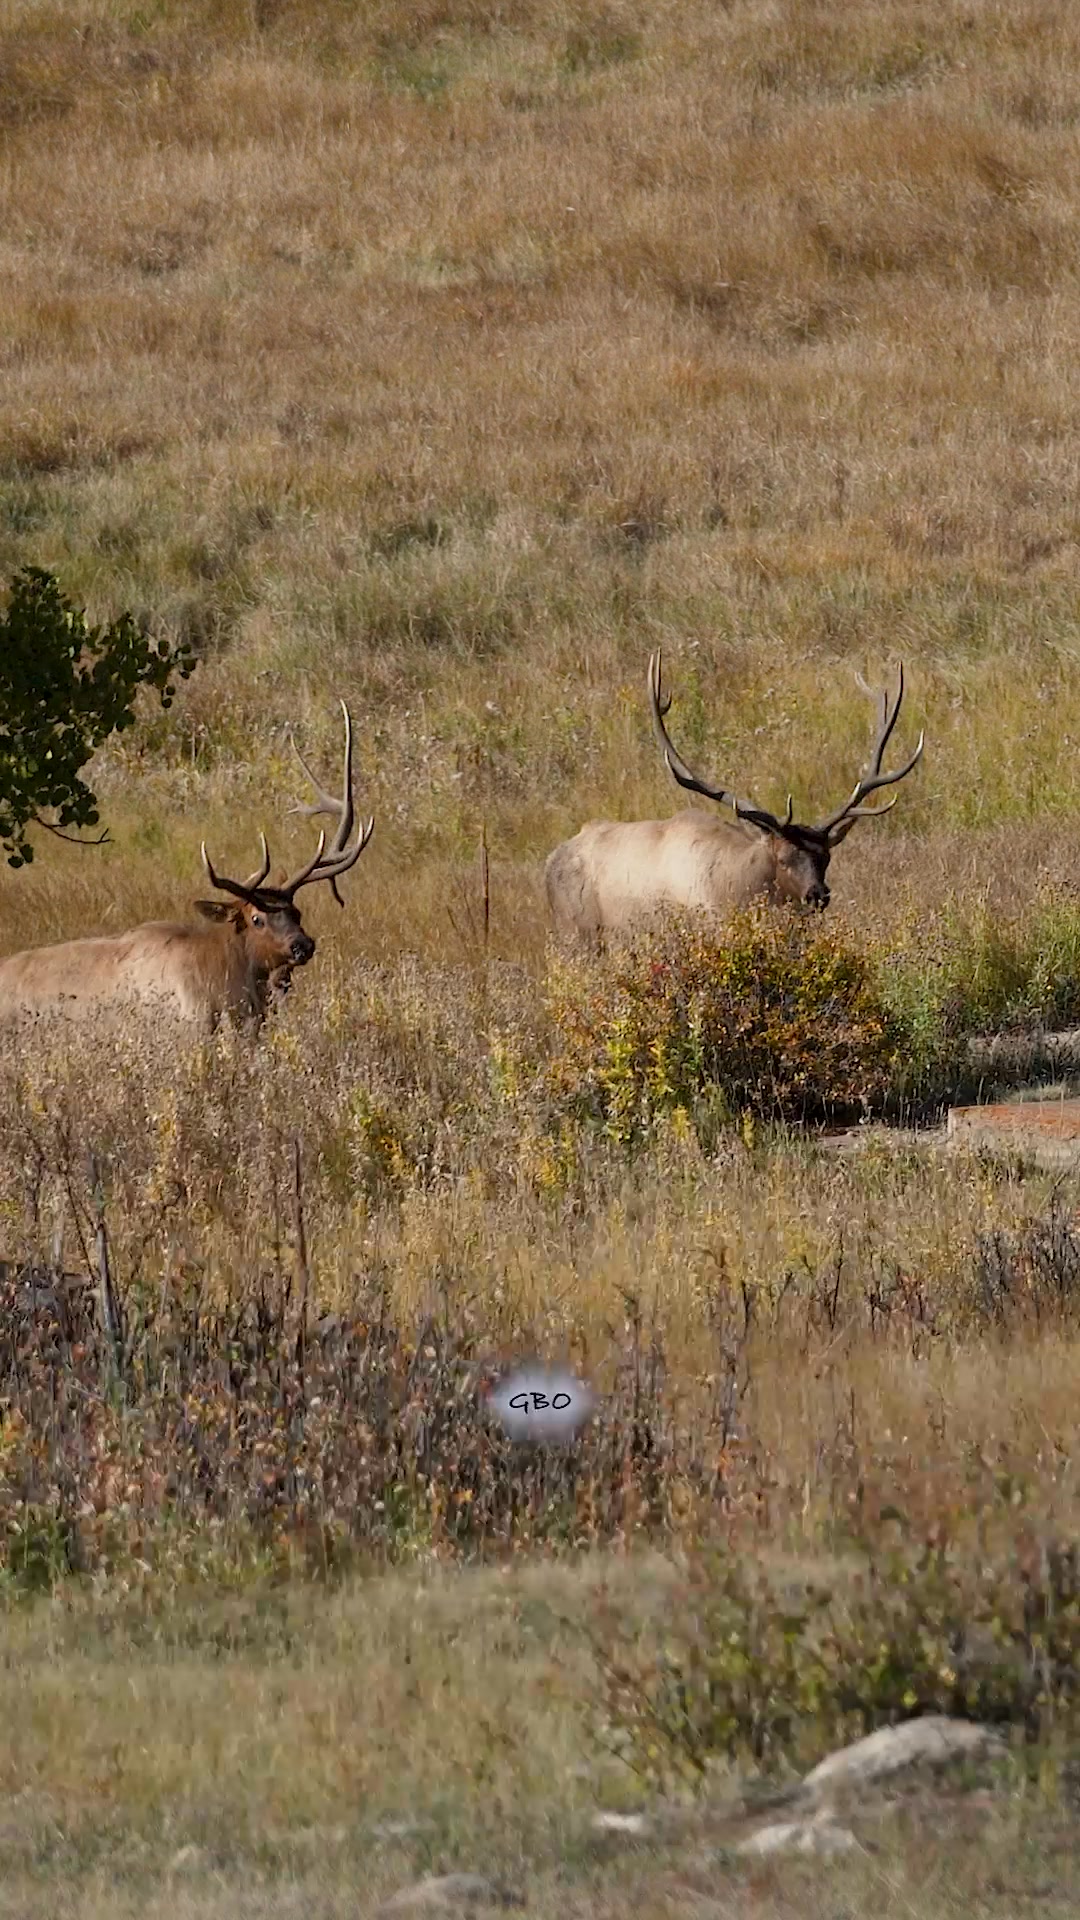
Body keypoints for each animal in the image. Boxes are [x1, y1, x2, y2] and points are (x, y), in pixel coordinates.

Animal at [544, 651, 923, 943]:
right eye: (783, 858)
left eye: (826, 856)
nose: (818, 894)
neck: (738, 886)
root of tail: (548, 864)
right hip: (577, 933)